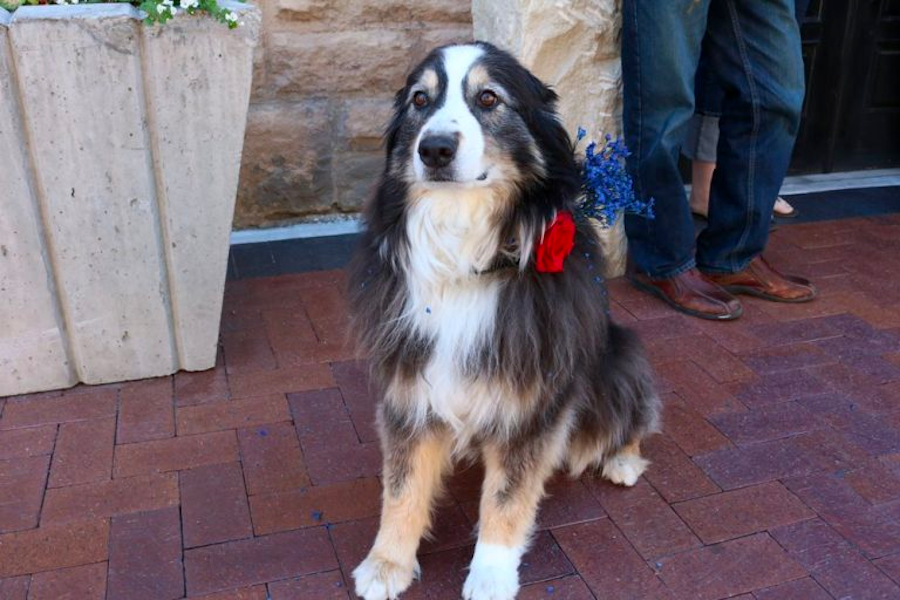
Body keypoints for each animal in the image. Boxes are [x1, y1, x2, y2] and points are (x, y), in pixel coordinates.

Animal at [348, 43, 656, 600]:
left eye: (489, 98)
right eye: (420, 100)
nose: (435, 150)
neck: (464, 253)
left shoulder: (533, 400)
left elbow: (507, 495)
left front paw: (490, 573)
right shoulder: (410, 382)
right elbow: (401, 484)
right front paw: (386, 563)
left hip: (618, 357)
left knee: (631, 416)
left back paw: (622, 459)